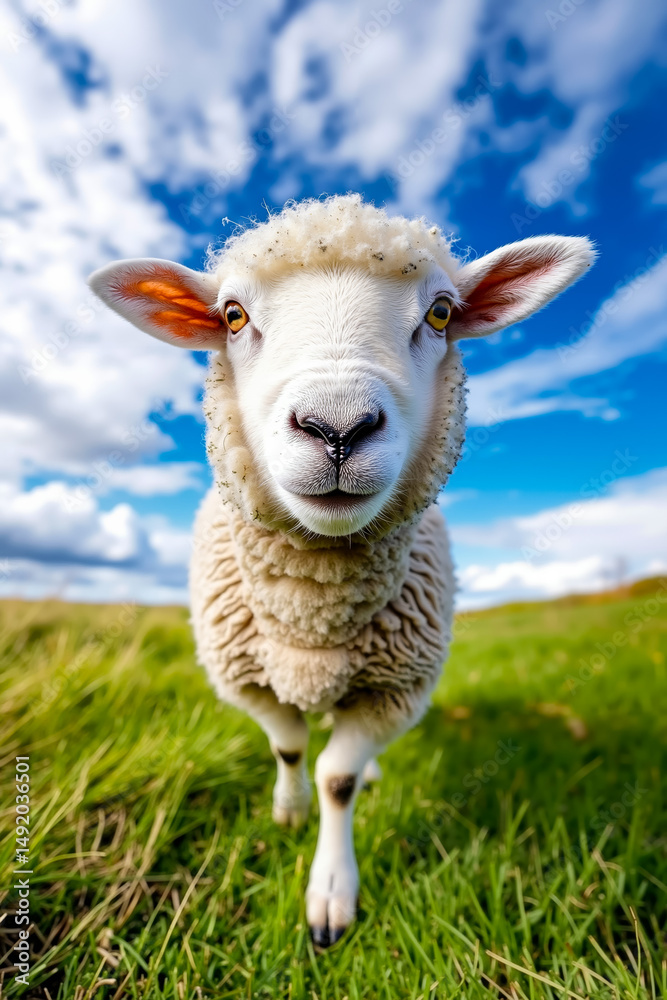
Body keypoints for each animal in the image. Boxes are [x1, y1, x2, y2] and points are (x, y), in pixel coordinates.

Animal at [89, 194, 594, 947]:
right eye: (232, 315)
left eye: (440, 313)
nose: (336, 429)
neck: (312, 610)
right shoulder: (247, 681)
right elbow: (291, 750)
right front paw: (290, 811)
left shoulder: (395, 691)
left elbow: (338, 779)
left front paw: (330, 893)